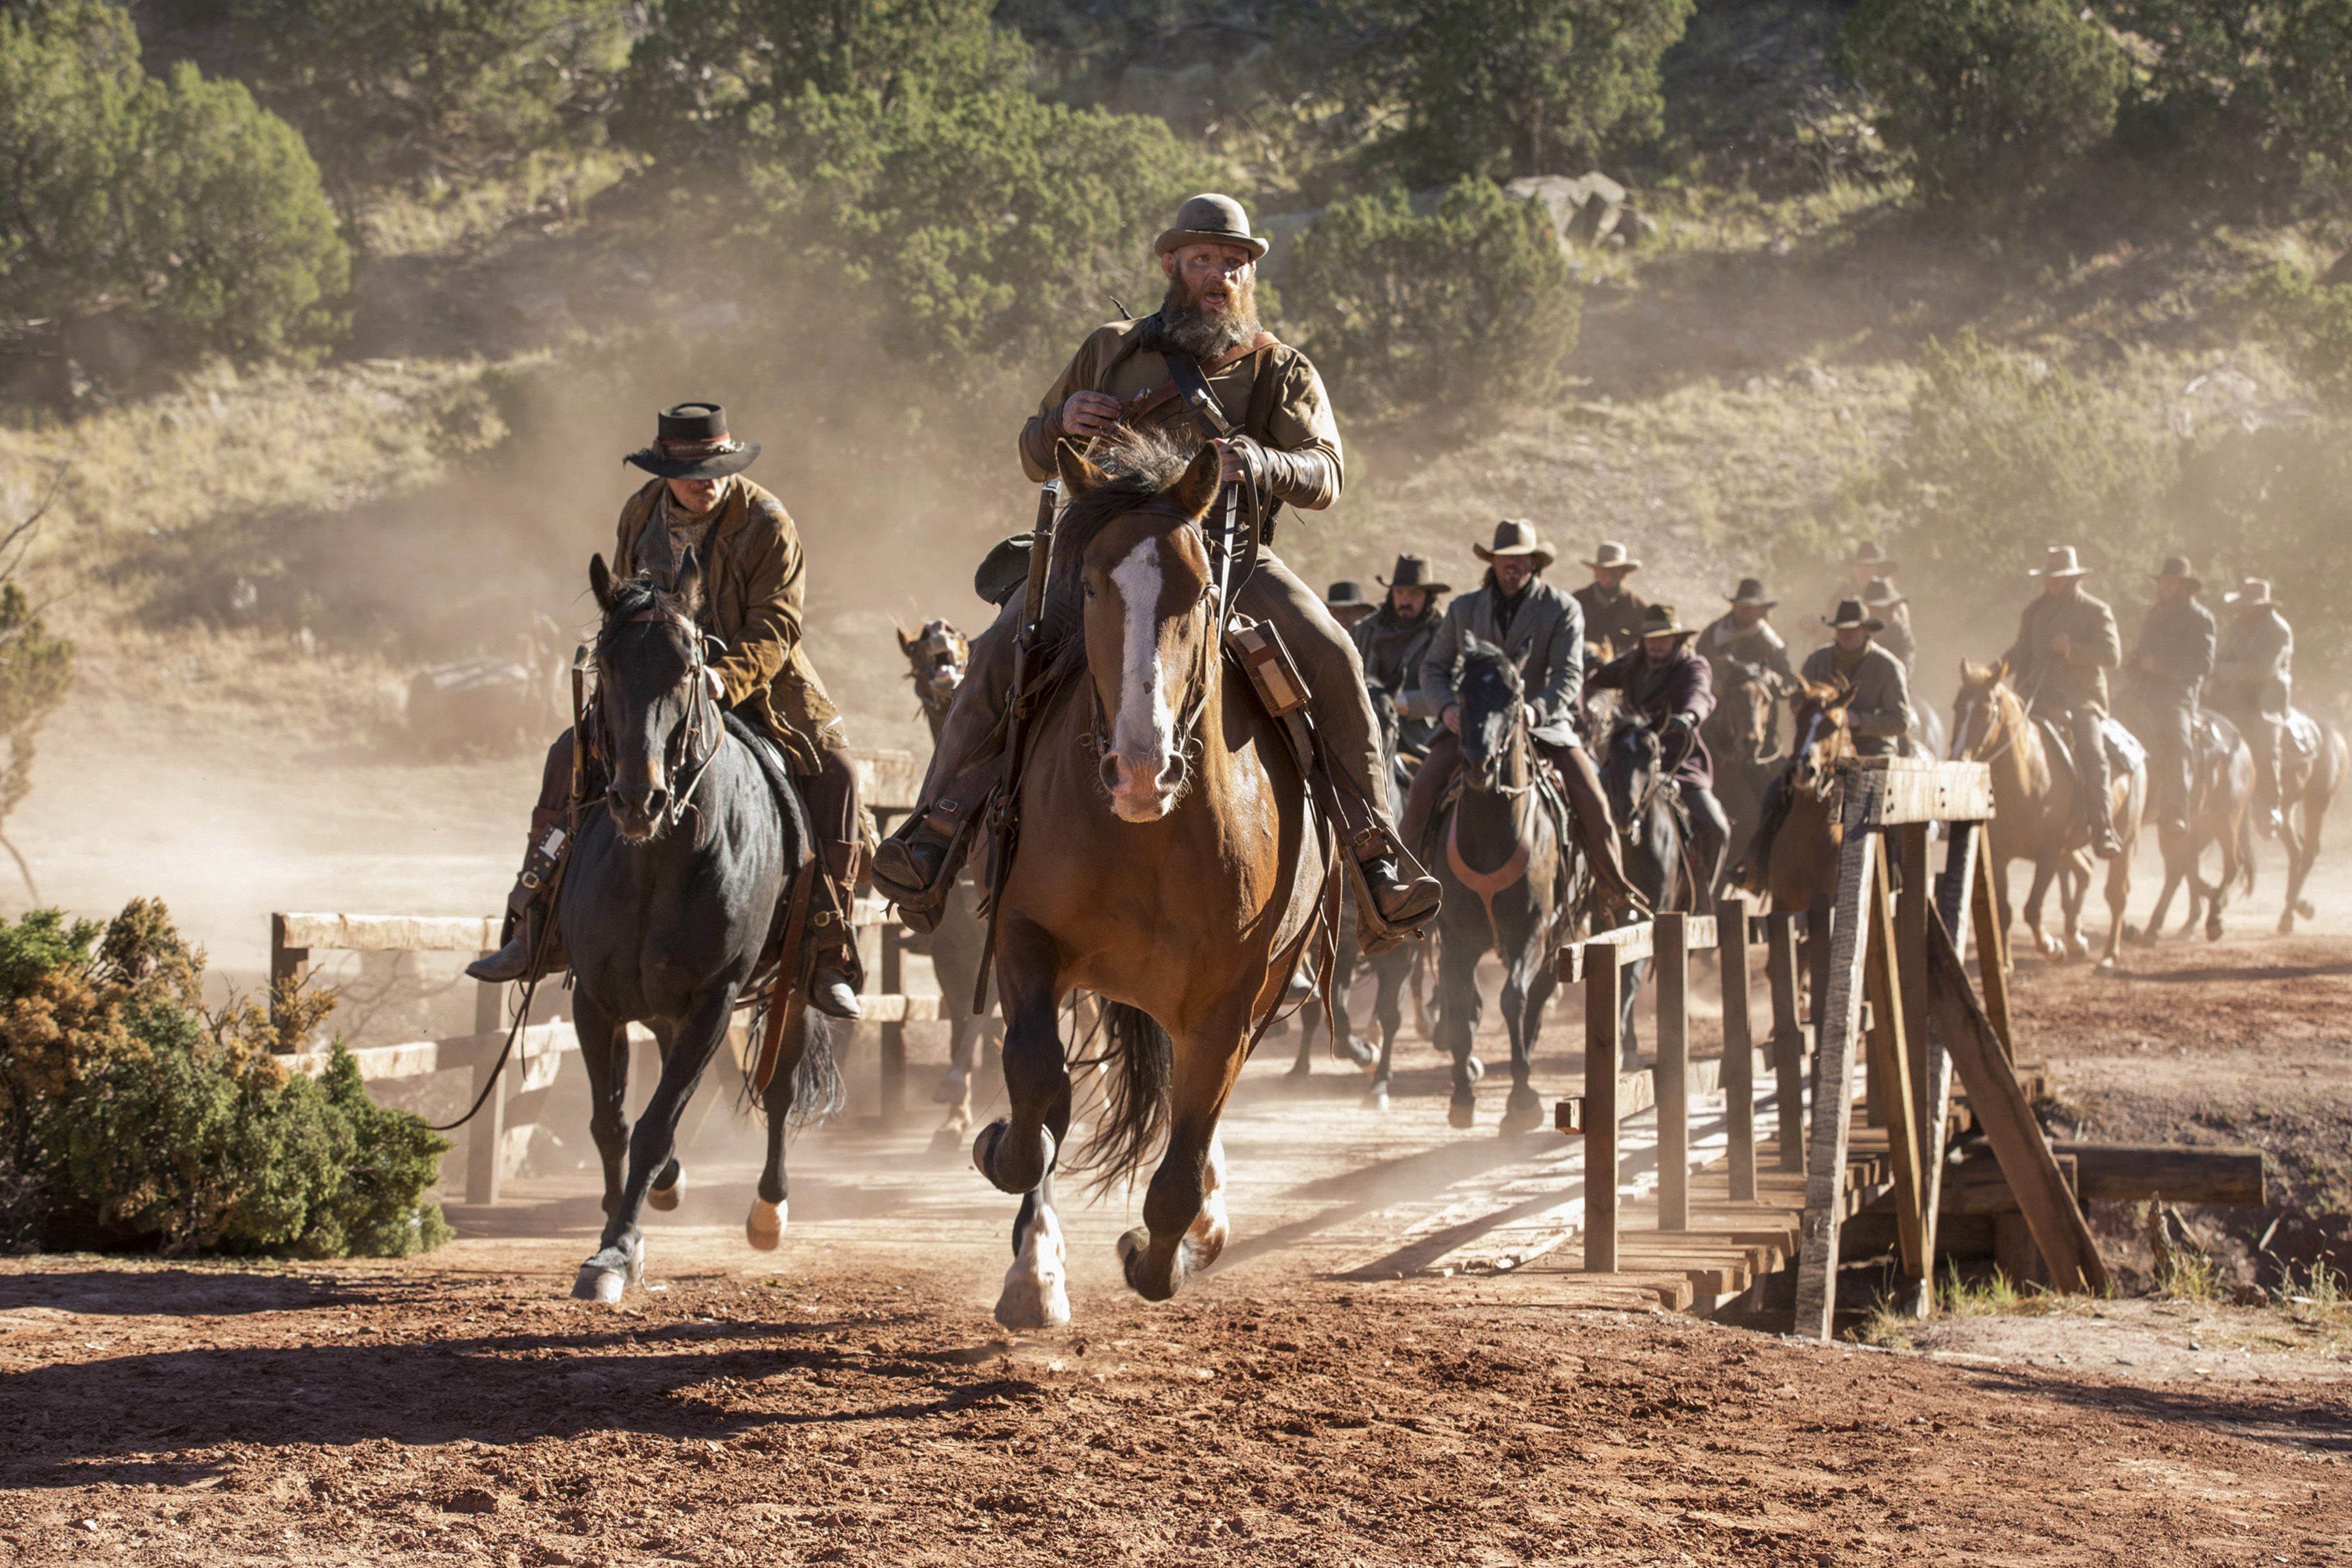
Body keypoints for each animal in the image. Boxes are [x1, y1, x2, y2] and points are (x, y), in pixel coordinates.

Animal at [564, 557, 841, 1307]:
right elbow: (611, 1122)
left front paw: (616, 1251)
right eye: (605, 663)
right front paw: (619, 1228)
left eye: (690, 666)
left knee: (777, 1093)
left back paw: (769, 1209)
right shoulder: (593, 1001)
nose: (638, 798)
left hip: (792, 988)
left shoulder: (716, 1000)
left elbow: (657, 1124)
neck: (655, 865)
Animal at [969, 434, 1326, 1335]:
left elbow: (1179, 1169)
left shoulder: (1230, 1004)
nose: (1141, 770)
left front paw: (1168, 1253)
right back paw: (1034, 1268)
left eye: (1200, 589)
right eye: (1091, 584)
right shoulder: (1026, 939)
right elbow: (1038, 1088)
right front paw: (1011, 1179)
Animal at [1957, 653, 2145, 968]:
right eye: (1957, 705)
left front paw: (2052, 948)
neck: (2027, 780)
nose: (1958, 758)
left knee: (2116, 895)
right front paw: (2006, 964)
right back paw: (2076, 939)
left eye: (1985, 709)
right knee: (2085, 872)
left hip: (2126, 840)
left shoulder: (2049, 853)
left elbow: (2032, 908)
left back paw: (2108, 956)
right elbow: (2004, 910)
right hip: (2071, 847)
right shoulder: (2000, 856)